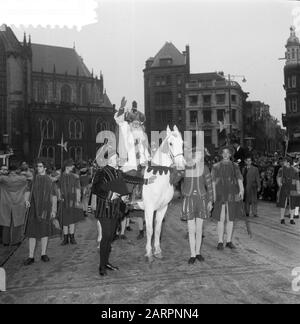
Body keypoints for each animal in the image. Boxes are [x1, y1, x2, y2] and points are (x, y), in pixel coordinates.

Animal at [138, 125, 185, 262]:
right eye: (170, 143)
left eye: (182, 143)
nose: (181, 167)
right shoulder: (149, 208)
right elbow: (150, 230)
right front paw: (149, 253)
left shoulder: (163, 208)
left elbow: (158, 229)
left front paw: (157, 251)